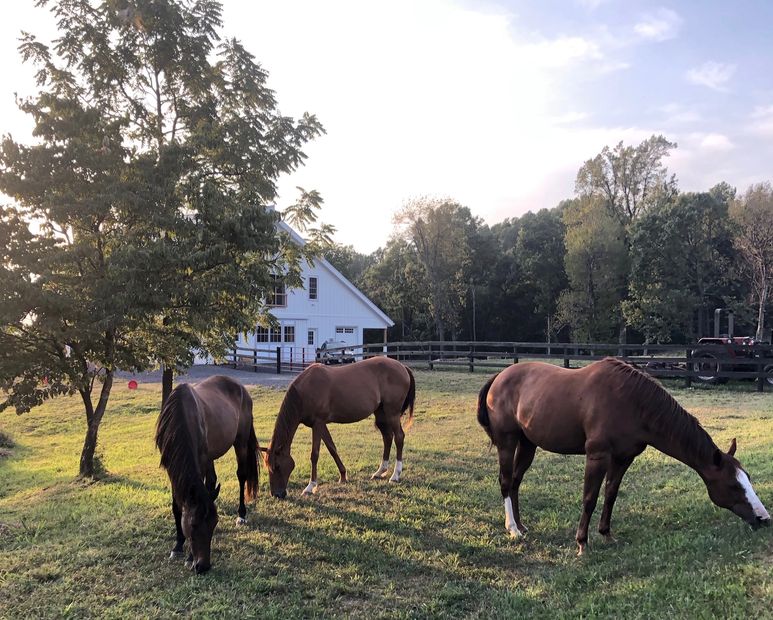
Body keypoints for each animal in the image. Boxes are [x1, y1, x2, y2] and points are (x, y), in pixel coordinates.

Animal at [155, 370, 260, 572]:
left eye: (214, 524)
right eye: (193, 525)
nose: (203, 566)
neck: (181, 416)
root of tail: (240, 387)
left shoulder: (200, 460)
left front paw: (188, 556)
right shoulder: (171, 467)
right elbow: (177, 505)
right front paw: (178, 546)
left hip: (240, 442)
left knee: (241, 475)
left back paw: (241, 515)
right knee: (212, 481)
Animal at [260, 356, 416, 496]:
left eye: (277, 466)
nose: (277, 494)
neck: (305, 391)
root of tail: (403, 367)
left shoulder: (318, 423)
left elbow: (315, 454)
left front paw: (311, 486)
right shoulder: (321, 425)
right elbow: (332, 448)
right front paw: (343, 476)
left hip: (392, 413)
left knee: (399, 437)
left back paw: (395, 475)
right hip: (381, 414)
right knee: (387, 437)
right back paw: (380, 472)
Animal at [474, 356, 768, 556]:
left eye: (748, 479)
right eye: (733, 485)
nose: (764, 519)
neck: (631, 402)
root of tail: (499, 376)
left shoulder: (623, 458)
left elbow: (610, 494)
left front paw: (606, 535)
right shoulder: (597, 456)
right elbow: (590, 498)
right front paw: (582, 543)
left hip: (528, 445)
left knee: (515, 482)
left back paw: (521, 526)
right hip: (507, 442)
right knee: (505, 482)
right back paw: (513, 529)